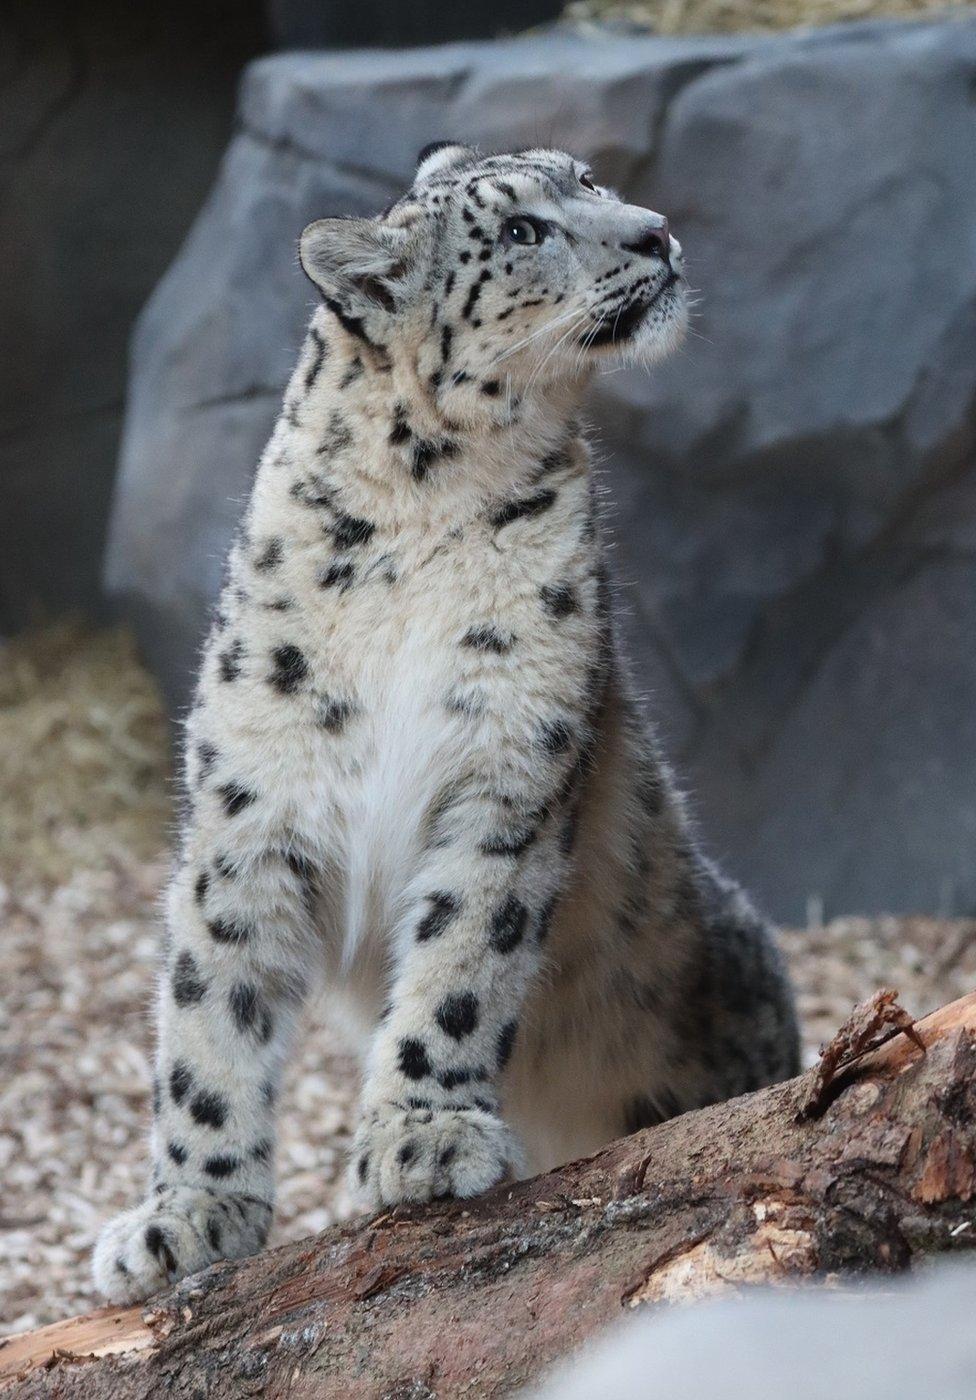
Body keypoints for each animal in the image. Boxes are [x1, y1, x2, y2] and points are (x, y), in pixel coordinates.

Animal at [91, 139, 795, 1299]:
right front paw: (187, 1213)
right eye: (518, 231)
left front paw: (420, 1136)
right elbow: (208, 1013)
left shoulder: (505, 778)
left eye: (588, 179)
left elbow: (462, 963)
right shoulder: (252, 803)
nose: (655, 233)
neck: (424, 506)